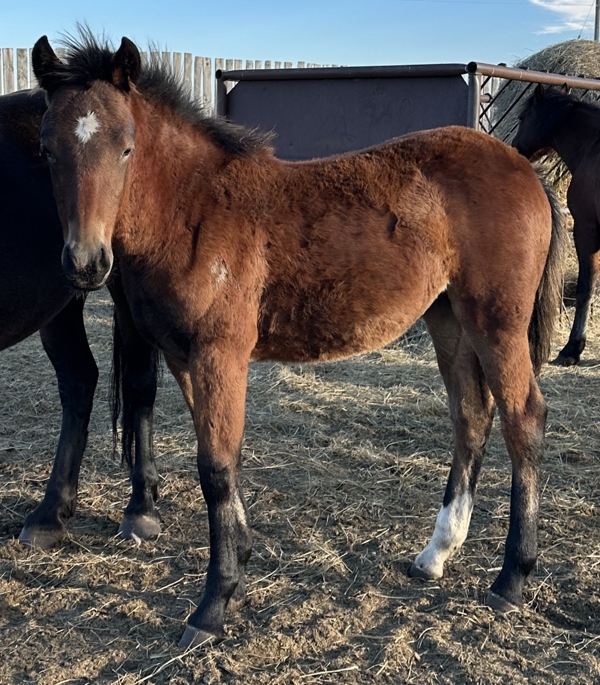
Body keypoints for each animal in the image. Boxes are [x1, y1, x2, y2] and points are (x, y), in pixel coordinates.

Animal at [0, 88, 161, 548]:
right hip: (60, 302)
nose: (86, 261)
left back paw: (140, 506)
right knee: (79, 379)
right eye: (46, 152)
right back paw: (51, 513)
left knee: (138, 381)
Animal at [32, 32, 565, 649]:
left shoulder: (220, 355)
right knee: (471, 416)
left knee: (523, 419)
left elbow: (215, 468)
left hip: (496, 323)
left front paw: (212, 606)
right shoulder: (184, 358)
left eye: (125, 148)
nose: (85, 264)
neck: (195, 210)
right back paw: (436, 554)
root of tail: (524, 168)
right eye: (47, 151)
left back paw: (512, 578)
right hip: (448, 318)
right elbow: (225, 460)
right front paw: (238, 560)